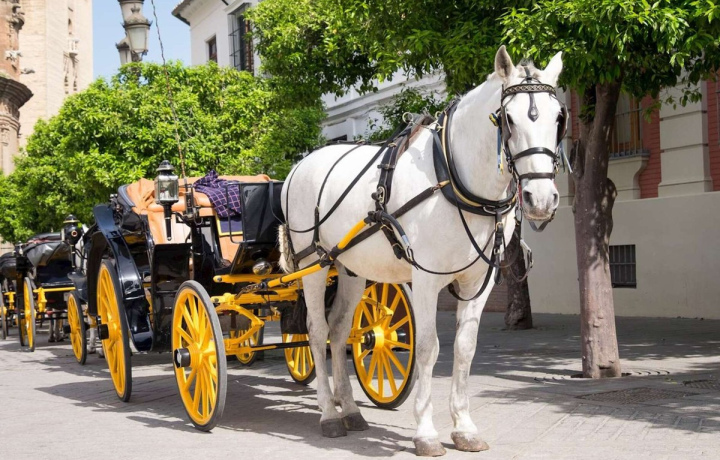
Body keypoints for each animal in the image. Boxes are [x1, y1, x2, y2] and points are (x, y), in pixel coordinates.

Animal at [279, 46, 565, 456]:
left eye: (559, 118)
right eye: (508, 119)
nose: (540, 199)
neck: (453, 178)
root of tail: (298, 166)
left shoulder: (478, 280)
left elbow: (465, 348)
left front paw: (464, 427)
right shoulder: (427, 279)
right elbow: (429, 347)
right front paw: (426, 433)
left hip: (350, 269)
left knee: (339, 330)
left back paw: (349, 409)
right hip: (314, 265)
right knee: (317, 333)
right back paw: (329, 415)